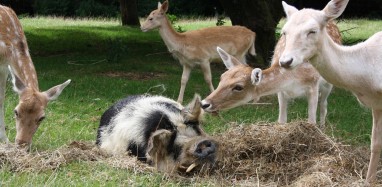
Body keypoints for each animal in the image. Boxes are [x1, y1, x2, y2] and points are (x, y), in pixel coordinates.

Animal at [0, 5, 71, 147]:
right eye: (16, 111)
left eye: (41, 117)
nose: (22, 144)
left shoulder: (4, 67)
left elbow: (1, 99)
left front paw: (5, 141)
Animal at [201, 20, 342, 127]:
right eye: (221, 78)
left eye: (238, 87)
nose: (204, 103)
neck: (293, 79)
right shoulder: (282, 91)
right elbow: (281, 121)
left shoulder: (313, 84)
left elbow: (311, 122)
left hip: (328, 82)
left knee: (324, 105)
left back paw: (323, 127)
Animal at [278, 0, 382, 183]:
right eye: (284, 32)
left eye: (312, 31)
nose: (285, 61)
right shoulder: (376, 104)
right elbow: (375, 144)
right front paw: (369, 181)